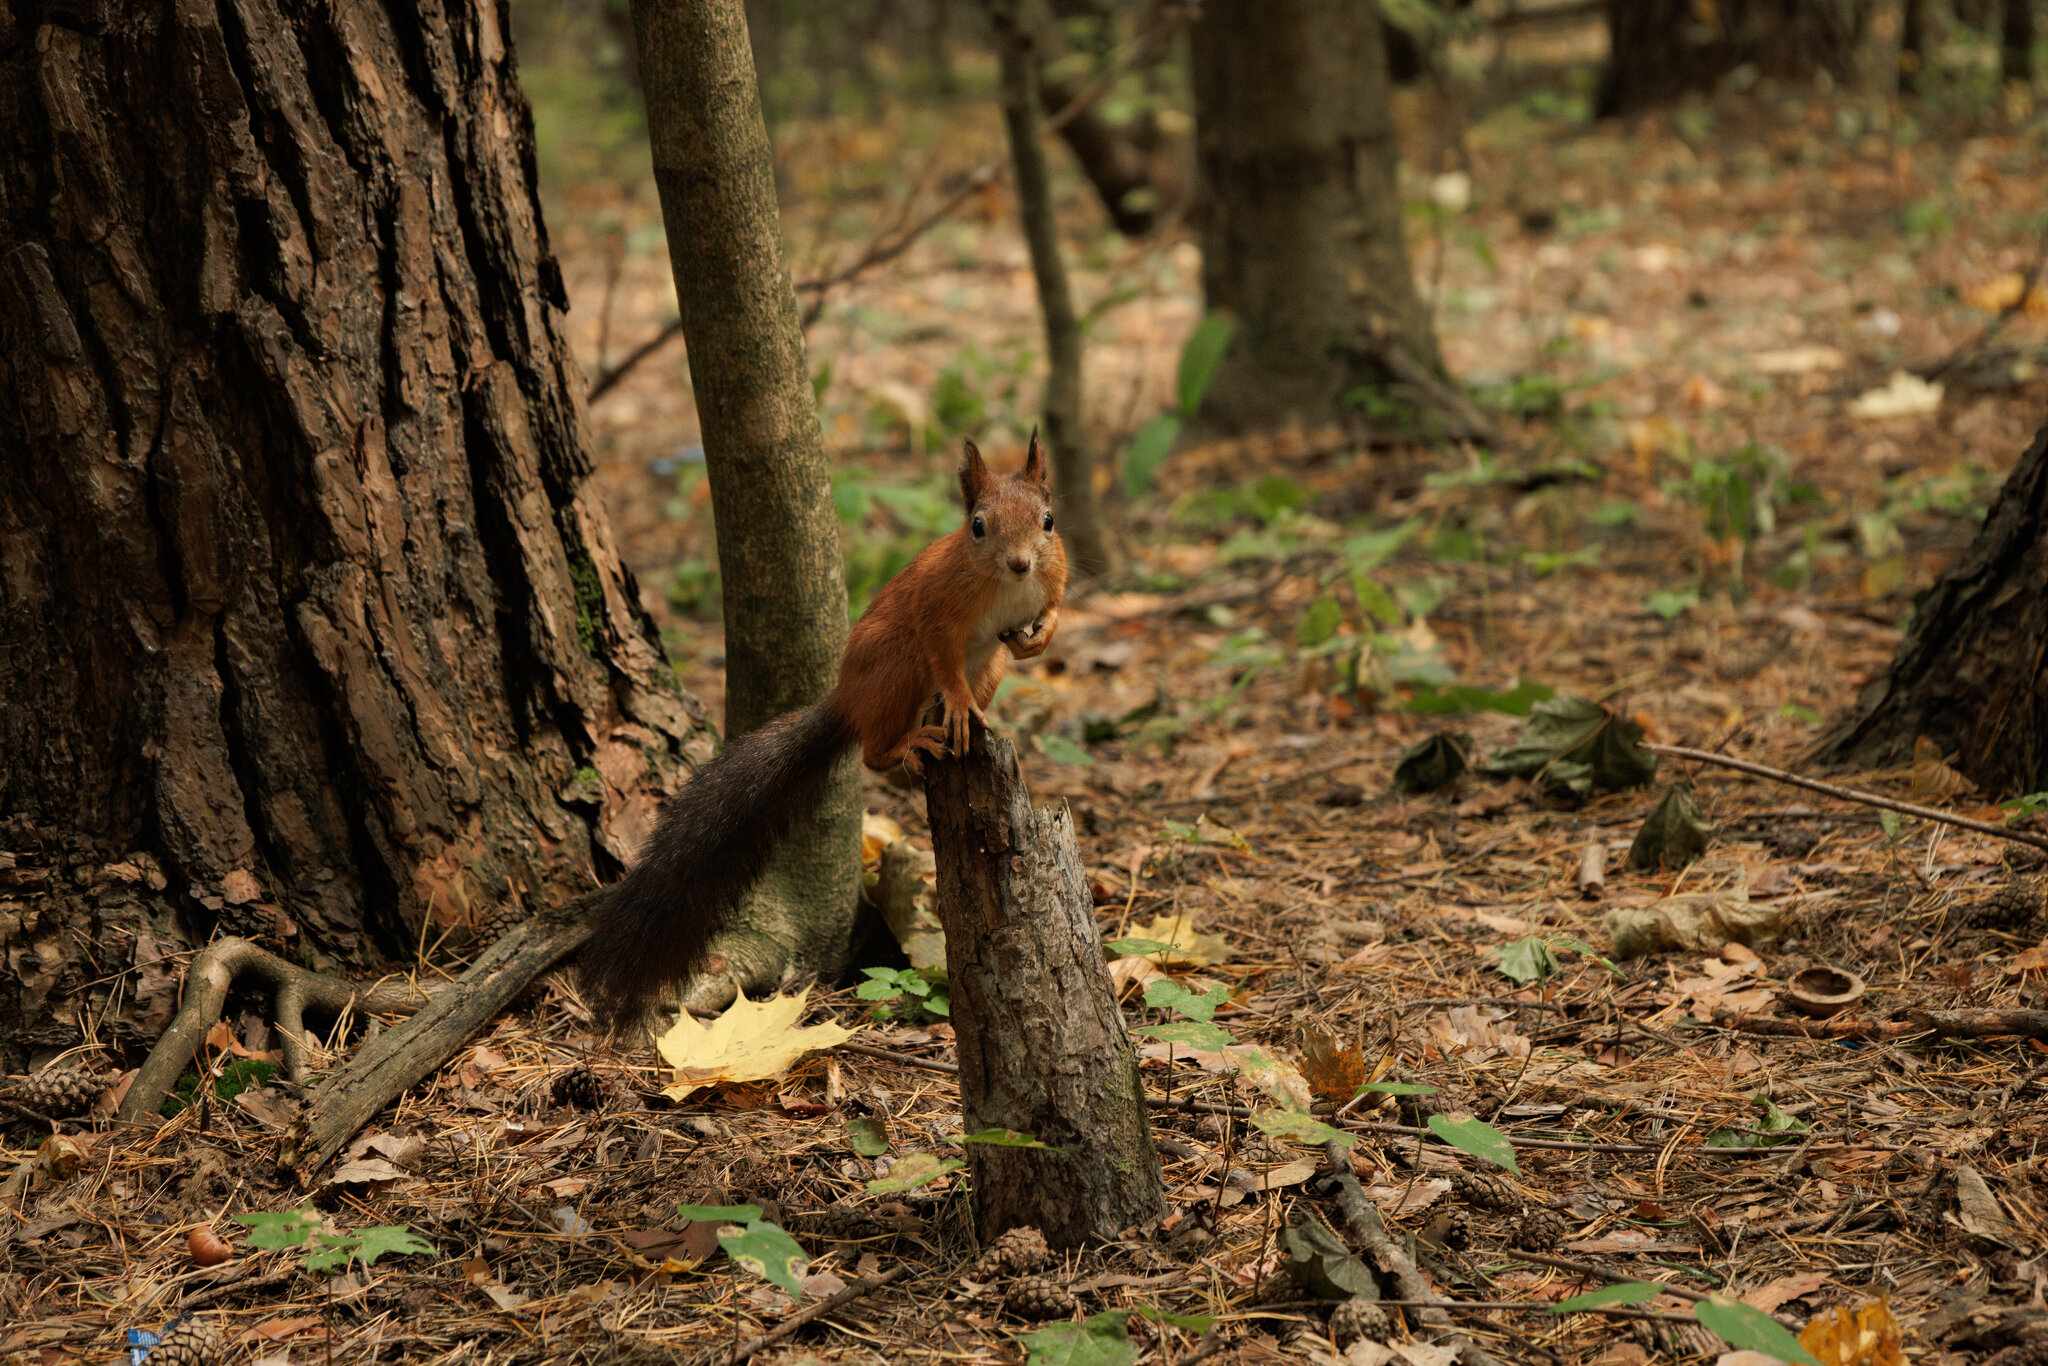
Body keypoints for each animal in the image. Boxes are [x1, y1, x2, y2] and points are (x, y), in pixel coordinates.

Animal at [579, 435, 1068, 1031]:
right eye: (978, 526)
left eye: (1048, 520)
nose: (1020, 563)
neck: (1004, 586)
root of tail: (848, 699)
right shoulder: (937, 607)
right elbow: (944, 656)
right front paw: (954, 702)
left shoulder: (1050, 579)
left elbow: (1052, 610)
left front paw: (1037, 638)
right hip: (898, 667)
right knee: (875, 750)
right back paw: (918, 739)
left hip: (986, 666)